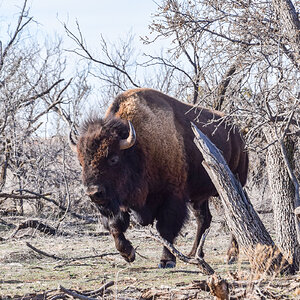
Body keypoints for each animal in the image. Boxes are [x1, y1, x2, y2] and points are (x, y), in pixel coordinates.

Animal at [70, 88, 248, 268]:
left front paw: (166, 260)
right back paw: (193, 254)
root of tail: (238, 133)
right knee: (204, 219)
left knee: (235, 214)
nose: (93, 193)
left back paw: (231, 255)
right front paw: (128, 253)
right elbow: (115, 225)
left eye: (113, 159)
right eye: (80, 162)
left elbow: (165, 229)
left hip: (231, 184)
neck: (139, 149)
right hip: (199, 196)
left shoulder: (172, 196)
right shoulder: (119, 202)